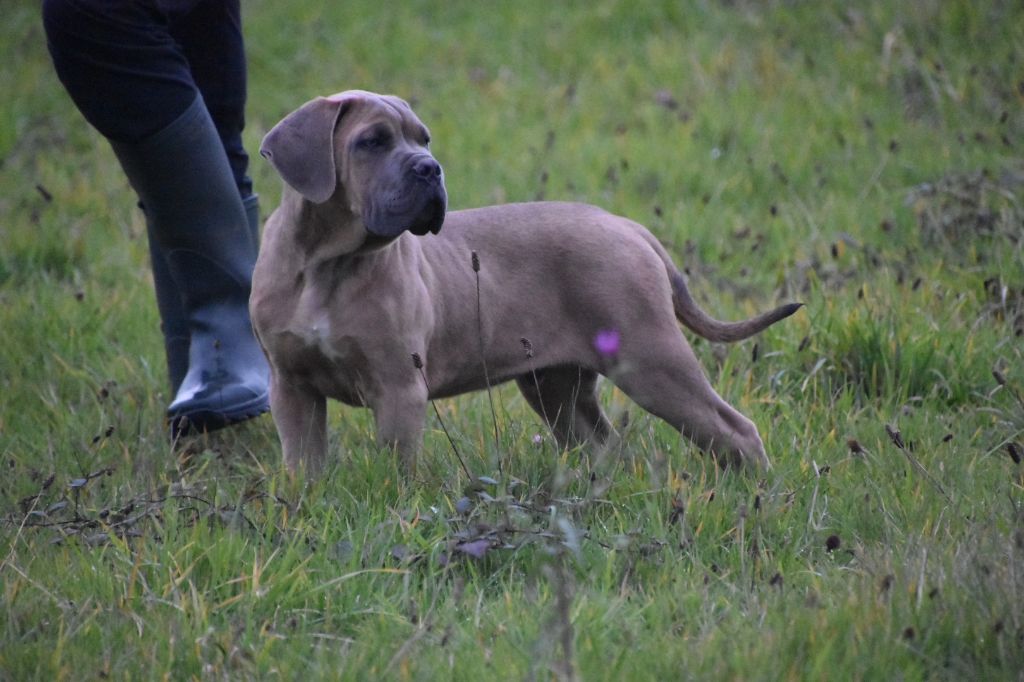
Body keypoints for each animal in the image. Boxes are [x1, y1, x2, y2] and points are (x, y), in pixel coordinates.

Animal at [253, 89, 798, 473]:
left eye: (423, 139)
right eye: (372, 142)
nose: (431, 169)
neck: (329, 263)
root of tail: (627, 226)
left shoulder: (398, 388)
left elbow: (396, 470)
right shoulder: (292, 387)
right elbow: (303, 466)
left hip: (652, 360)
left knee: (734, 430)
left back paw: (758, 495)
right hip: (556, 385)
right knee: (600, 442)